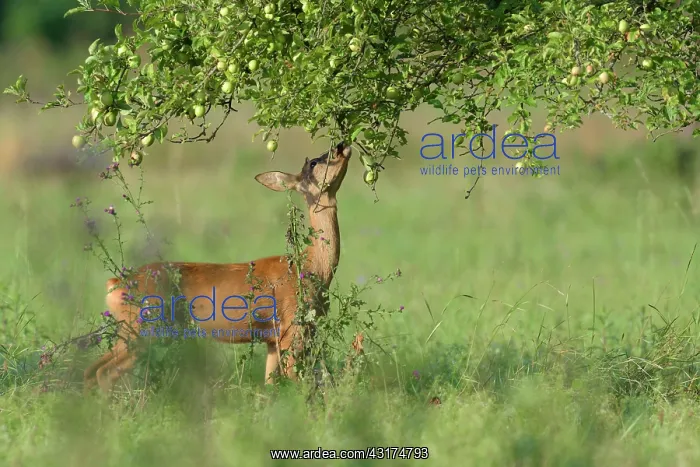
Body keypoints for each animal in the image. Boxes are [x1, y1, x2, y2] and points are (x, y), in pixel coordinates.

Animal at [83, 141, 353, 392]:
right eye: (314, 163)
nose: (342, 145)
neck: (310, 266)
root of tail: (115, 284)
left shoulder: (271, 339)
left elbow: (269, 385)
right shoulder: (291, 329)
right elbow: (297, 382)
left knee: (91, 369)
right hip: (144, 329)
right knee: (104, 371)